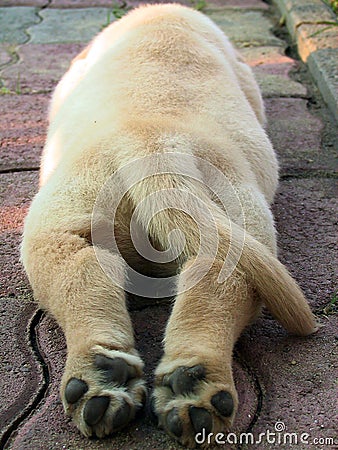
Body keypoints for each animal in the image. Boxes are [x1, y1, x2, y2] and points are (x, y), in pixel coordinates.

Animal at [21, 4, 316, 450]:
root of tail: (155, 149)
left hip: (58, 219)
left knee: (81, 273)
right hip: (238, 218)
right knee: (216, 280)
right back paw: (182, 385)